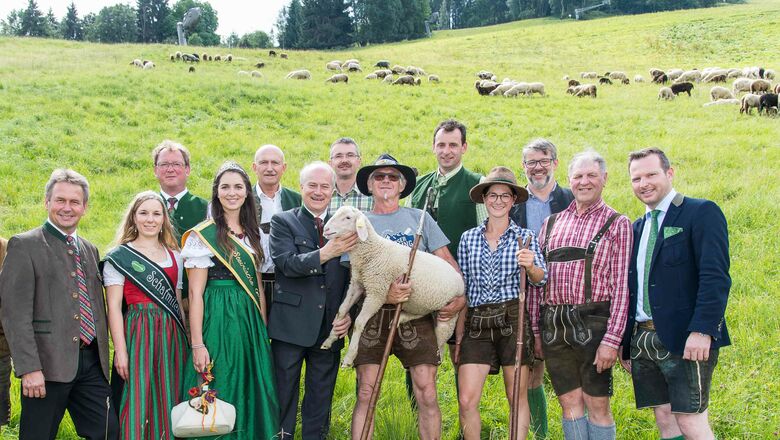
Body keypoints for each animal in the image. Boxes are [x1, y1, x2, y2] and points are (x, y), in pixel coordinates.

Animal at [322, 207, 466, 368]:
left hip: (449, 316)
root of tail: (459, 278)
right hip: (424, 304)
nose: (326, 229)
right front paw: (329, 340)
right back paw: (401, 318)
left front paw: (349, 358)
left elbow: (359, 323)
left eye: (347, 218)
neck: (372, 250)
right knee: (420, 313)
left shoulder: (377, 292)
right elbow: (341, 311)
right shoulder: (357, 285)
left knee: (440, 345)